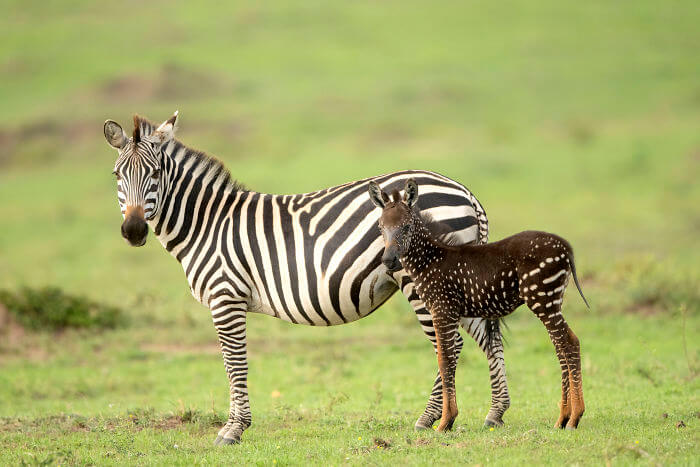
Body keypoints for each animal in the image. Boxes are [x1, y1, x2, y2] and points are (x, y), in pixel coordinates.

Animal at [104, 111, 508, 444]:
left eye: (155, 174)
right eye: (117, 175)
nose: (134, 230)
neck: (207, 224)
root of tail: (464, 191)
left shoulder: (226, 297)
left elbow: (234, 362)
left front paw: (233, 429)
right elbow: (230, 362)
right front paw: (235, 425)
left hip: (424, 278)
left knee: (450, 344)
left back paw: (433, 419)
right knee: (485, 338)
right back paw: (494, 414)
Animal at [370, 178, 588, 432]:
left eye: (406, 227)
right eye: (380, 228)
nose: (388, 261)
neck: (430, 260)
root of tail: (565, 247)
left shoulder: (443, 310)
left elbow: (445, 360)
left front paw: (445, 421)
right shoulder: (449, 312)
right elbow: (447, 359)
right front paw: (448, 419)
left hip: (542, 298)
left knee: (569, 343)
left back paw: (574, 417)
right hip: (552, 301)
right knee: (561, 345)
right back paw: (562, 418)